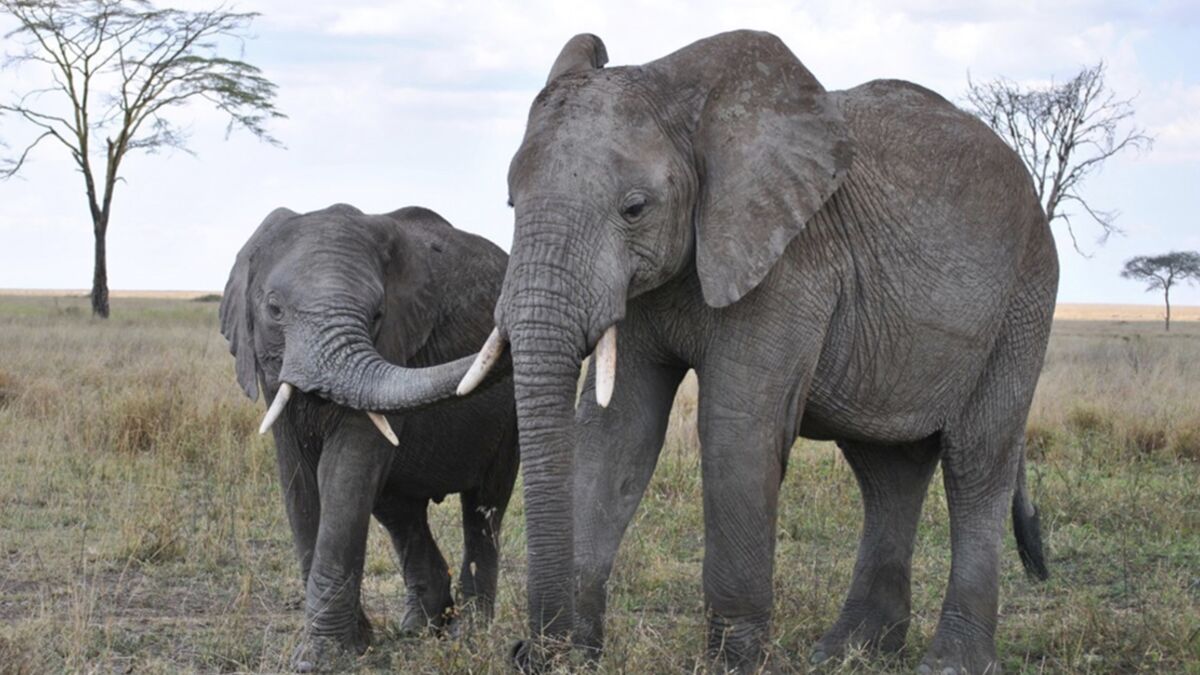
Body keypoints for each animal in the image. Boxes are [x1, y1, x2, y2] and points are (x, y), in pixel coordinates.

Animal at [218, 204, 518, 667]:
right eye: (274, 309)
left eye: (377, 315)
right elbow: (299, 481)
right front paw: (351, 646)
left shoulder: (394, 344)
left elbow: (345, 470)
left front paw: (322, 659)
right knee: (400, 510)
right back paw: (419, 628)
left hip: (510, 420)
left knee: (484, 506)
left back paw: (466, 637)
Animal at [446, 31, 1056, 672]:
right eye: (511, 204)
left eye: (634, 208)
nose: (528, 651)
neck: (689, 104)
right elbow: (616, 432)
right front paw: (571, 658)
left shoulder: (788, 264)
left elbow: (734, 430)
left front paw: (732, 664)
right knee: (887, 472)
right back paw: (846, 652)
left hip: (1024, 296)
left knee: (976, 462)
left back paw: (950, 661)